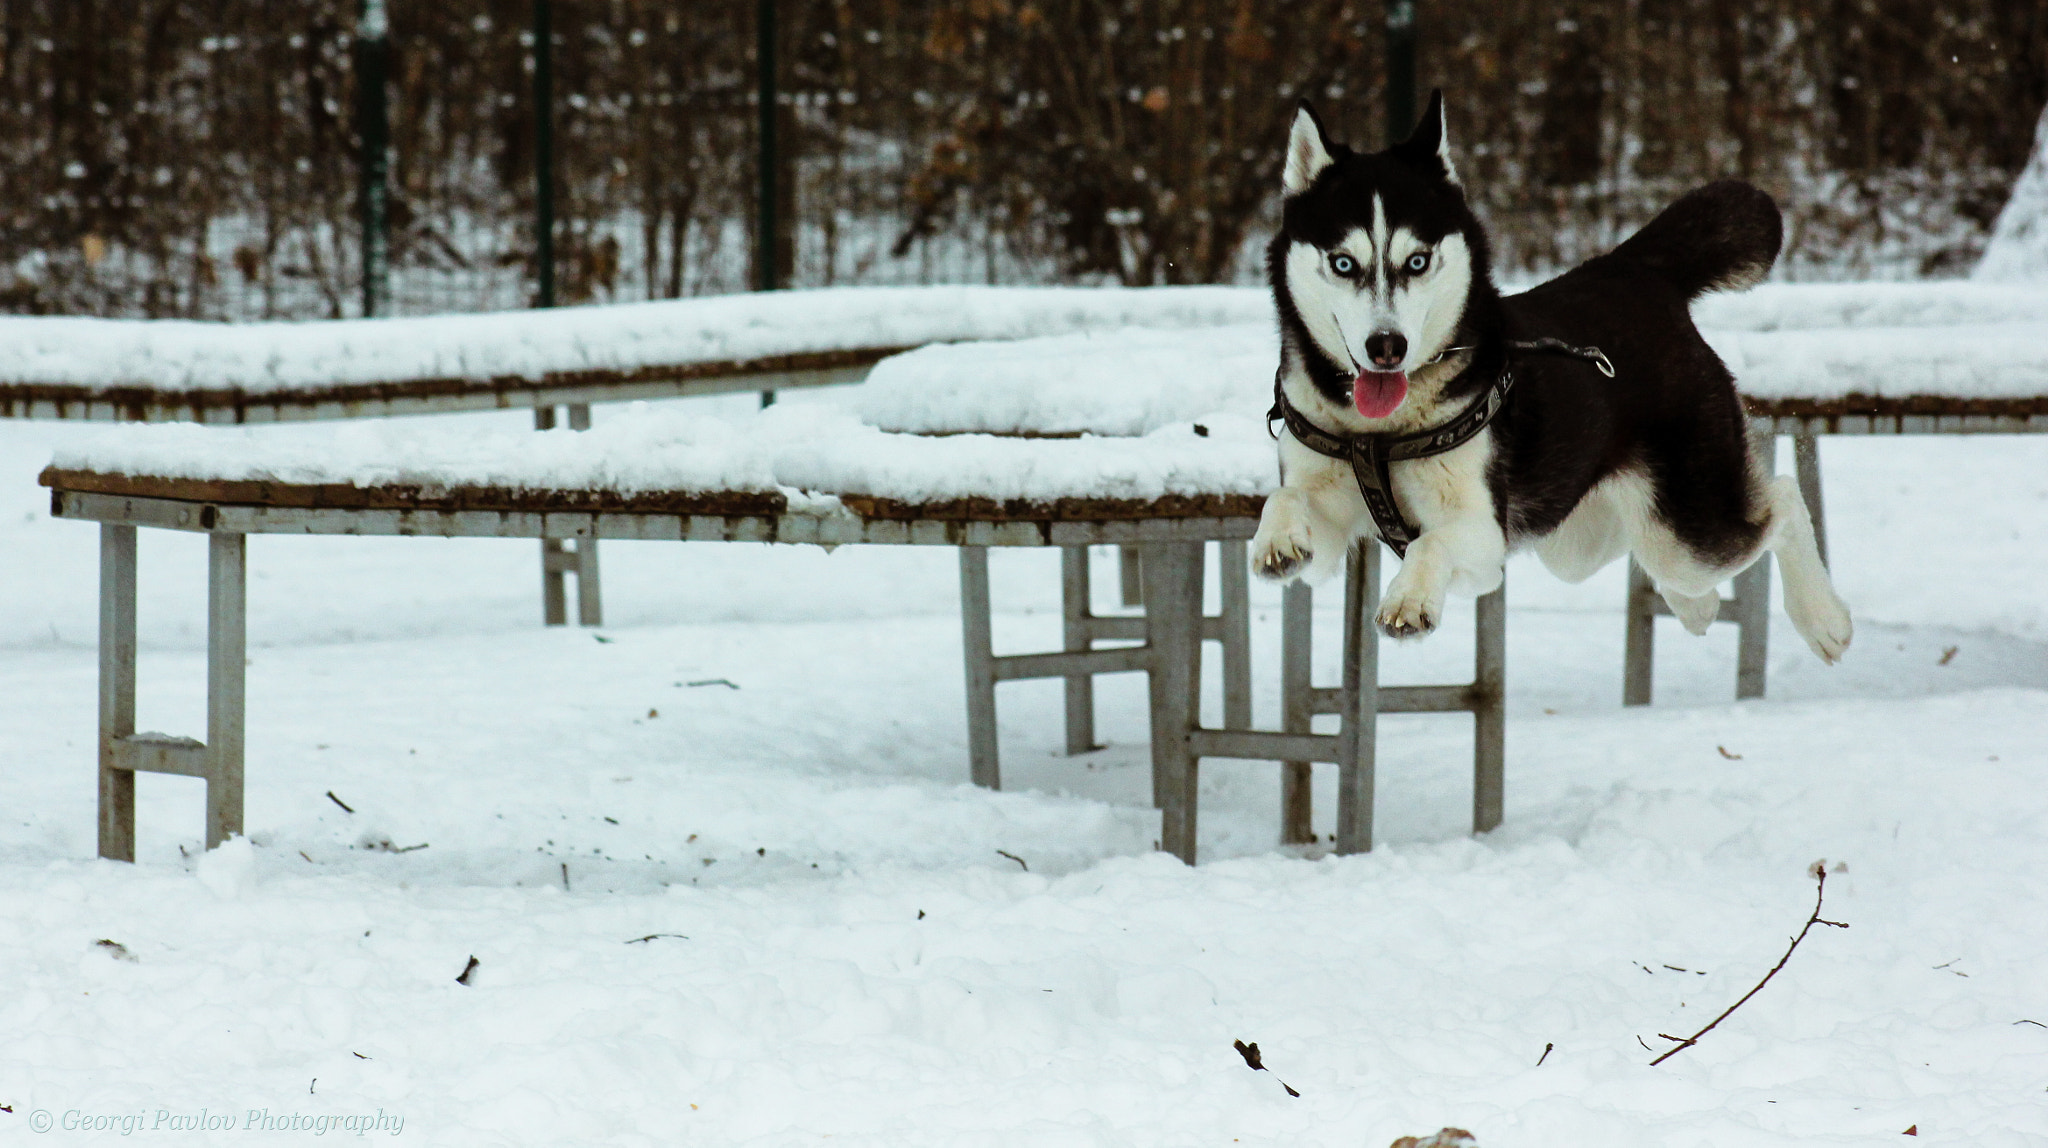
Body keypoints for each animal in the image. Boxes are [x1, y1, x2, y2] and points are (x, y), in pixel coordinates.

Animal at [1245, 91, 1859, 663]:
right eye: (1343, 262)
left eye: (1417, 261)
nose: (1386, 347)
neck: (1377, 436)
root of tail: (1633, 269)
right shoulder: (1326, 534)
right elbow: (1288, 502)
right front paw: (1276, 538)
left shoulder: (1484, 538)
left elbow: (1430, 545)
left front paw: (1410, 599)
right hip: (1581, 539)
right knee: (1656, 551)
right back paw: (1698, 606)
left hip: (1687, 529)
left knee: (1781, 499)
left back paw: (1822, 617)